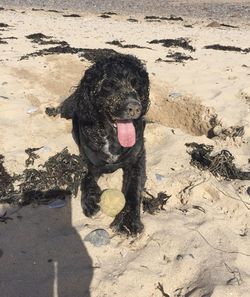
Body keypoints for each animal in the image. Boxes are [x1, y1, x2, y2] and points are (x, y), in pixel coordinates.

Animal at [61, 52, 149, 234]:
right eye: (109, 85)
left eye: (137, 84)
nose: (135, 108)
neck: (111, 138)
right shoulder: (89, 159)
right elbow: (86, 176)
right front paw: (91, 199)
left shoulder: (137, 159)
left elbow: (133, 187)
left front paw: (128, 221)